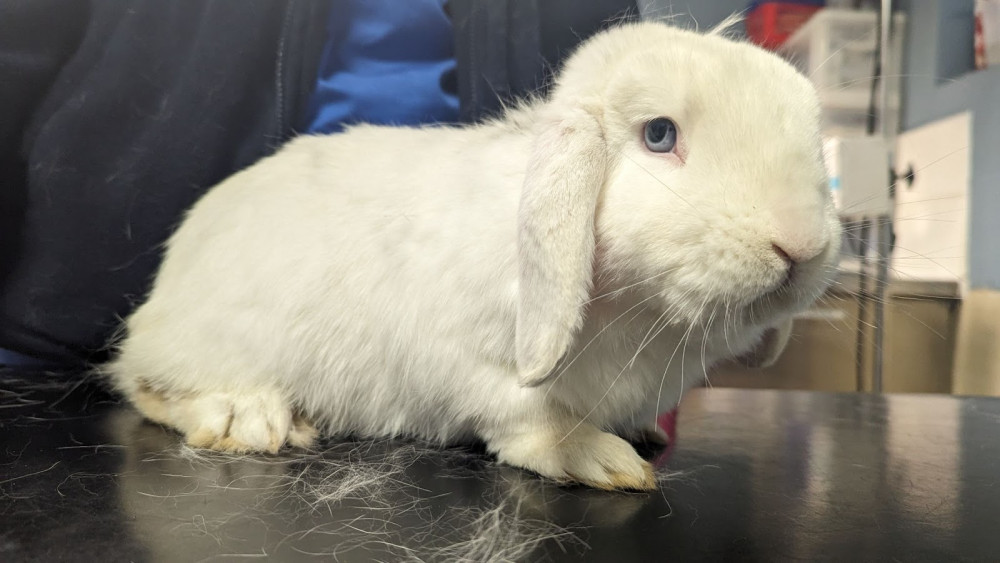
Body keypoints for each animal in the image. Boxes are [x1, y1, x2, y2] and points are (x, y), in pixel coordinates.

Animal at [107, 19, 844, 492]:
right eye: (659, 135)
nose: (802, 244)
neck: (638, 312)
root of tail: (161, 292)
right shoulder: (479, 371)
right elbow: (531, 423)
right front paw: (604, 461)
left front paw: (645, 437)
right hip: (200, 342)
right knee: (146, 387)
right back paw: (254, 418)